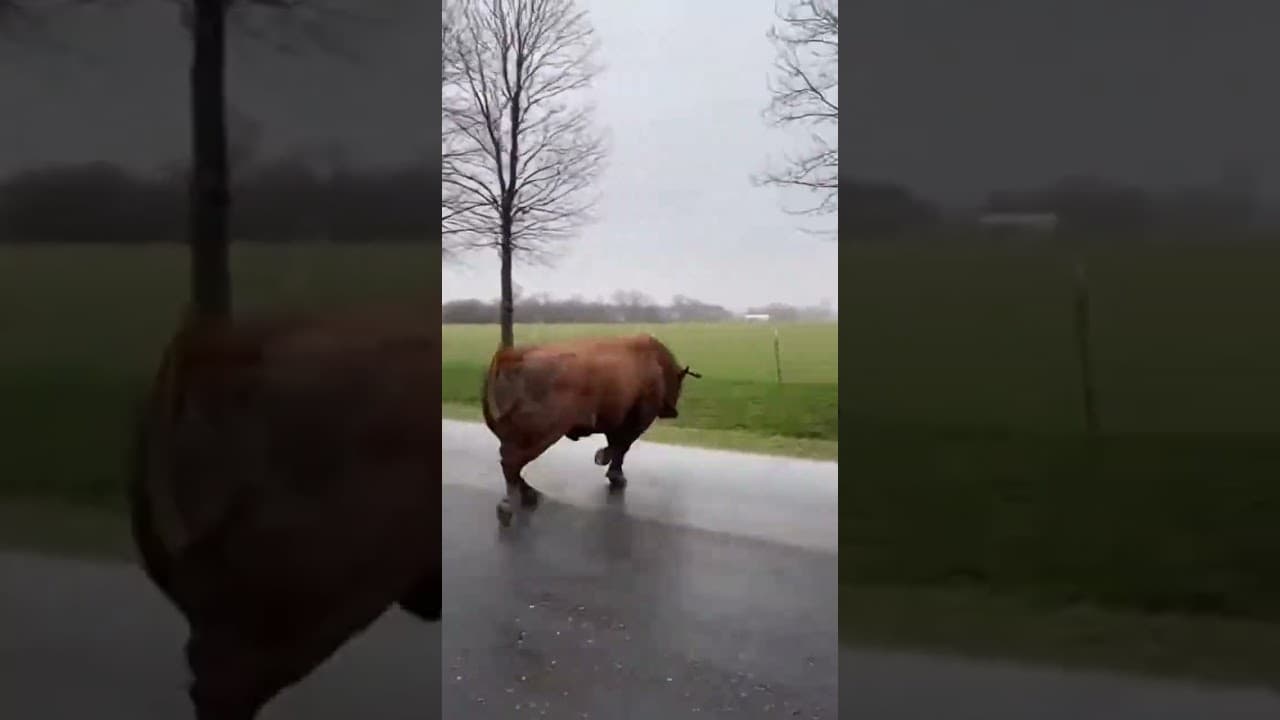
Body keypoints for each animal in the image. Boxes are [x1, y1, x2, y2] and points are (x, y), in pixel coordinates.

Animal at [480, 333, 700, 525]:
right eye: (679, 383)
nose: (673, 412)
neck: (654, 361)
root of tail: (513, 356)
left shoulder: (615, 419)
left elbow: (617, 445)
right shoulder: (638, 419)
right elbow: (621, 446)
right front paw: (607, 464)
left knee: (510, 463)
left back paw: (529, 494)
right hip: (542, 433)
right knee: (511, 462)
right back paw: (509, 506)